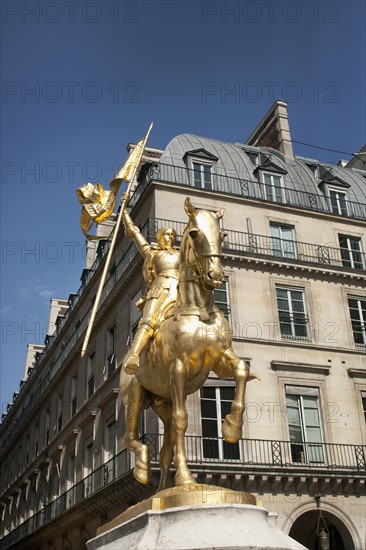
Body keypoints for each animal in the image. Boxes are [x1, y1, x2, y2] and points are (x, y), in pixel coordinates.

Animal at [120, 198, 258, 492]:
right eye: (195, 233)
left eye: (223, 235)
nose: (215, 275)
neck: (199, 311)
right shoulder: (178, 369)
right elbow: (184, 419)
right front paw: (185, 478)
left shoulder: (221, 357)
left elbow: (241, 371)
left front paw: (231, 427)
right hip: (135, 395)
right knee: (130, 437)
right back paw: (142, 469)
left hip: (163, 403)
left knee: (165, 449)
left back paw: (162, 490)